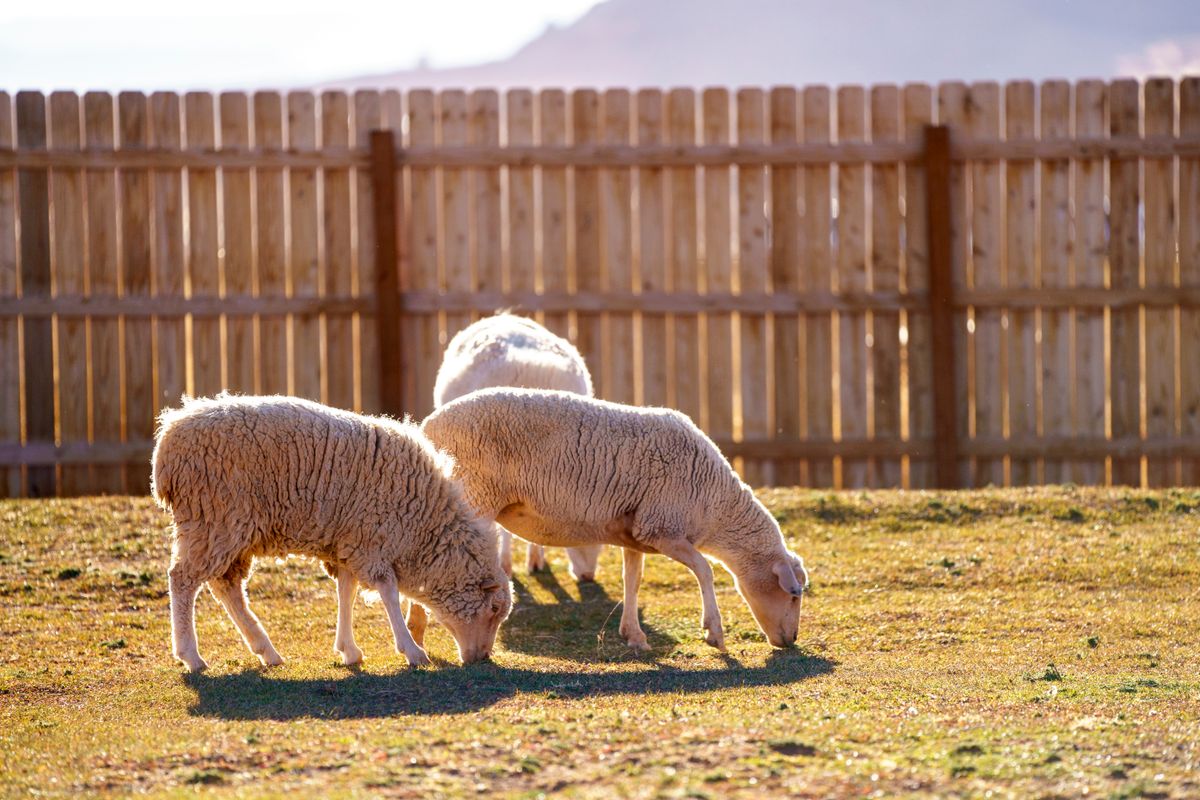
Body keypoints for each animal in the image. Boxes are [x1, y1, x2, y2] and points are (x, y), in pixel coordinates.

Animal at [151, 394, 511, 672]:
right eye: (493, 610)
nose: (482, 659)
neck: (423, 524)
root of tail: (167, 439)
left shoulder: (348, 540)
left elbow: (347, 591)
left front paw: (348, 649)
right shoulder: (371, 538)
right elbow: (388, 592)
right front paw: (411, 650)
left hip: (229, 529)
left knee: (227, 587)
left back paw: (266, 650)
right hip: (215, 518)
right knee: (182, 579)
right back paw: (191, 655)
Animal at [421, 388, 809, 653]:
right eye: (793, 596)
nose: (791, 640)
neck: (715, 503)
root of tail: (428, 425)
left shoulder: (636, 535)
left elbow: (632, 581)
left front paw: (633, 635)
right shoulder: (663, 527)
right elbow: (705, 570)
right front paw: (713, 631)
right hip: (474, 497)